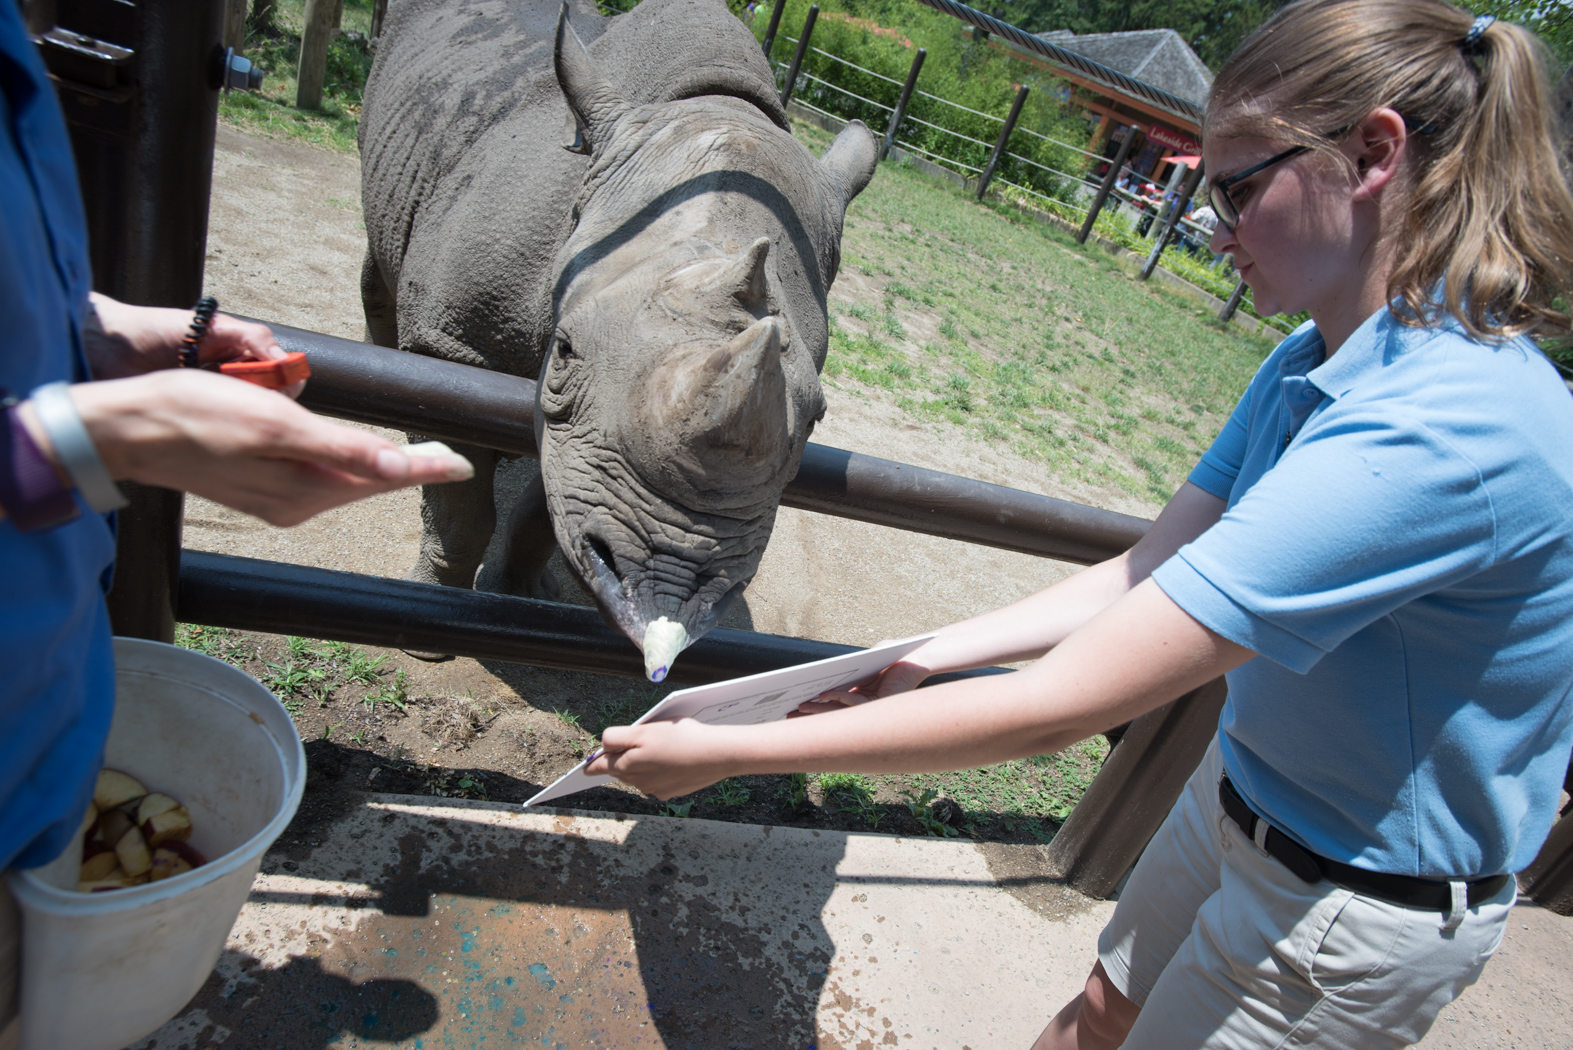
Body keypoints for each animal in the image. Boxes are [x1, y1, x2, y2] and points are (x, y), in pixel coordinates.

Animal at [360, 0, 887, 682]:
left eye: (818, 416)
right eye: (562, 351)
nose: (674, 581)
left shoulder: (595, 435)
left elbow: (546, 505)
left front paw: (524, 596)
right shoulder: (449, 344)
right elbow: (459, 505)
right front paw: (430, 632)